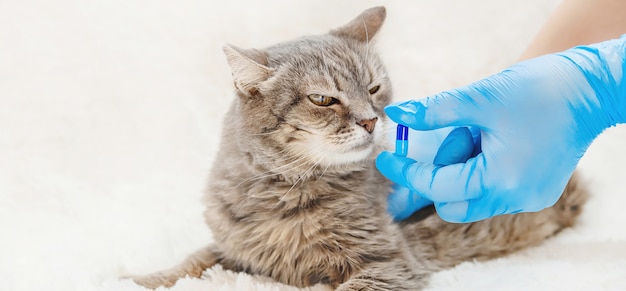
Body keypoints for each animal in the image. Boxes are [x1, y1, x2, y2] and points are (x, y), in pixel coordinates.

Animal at [130, 5, 584, 290]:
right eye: (322, 99)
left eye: (373, 88)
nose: (370, 120)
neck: (284, 192)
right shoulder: (235, 249)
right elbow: (193, 259)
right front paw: (141, 278)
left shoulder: (387, 263)